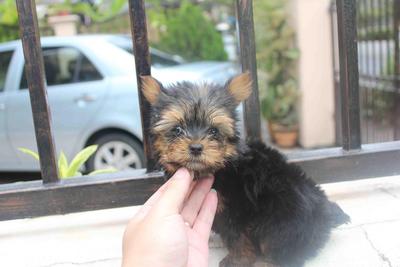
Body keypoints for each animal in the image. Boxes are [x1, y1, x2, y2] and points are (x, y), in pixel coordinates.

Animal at [142, 74, 348, 267]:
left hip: (284, 219)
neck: (221, 166)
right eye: (177, 130)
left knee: (283, 247)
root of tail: (325, 212)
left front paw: (237, 259)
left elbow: (239, 237)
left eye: (214, 131)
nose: (196, 147)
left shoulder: (238, 207)